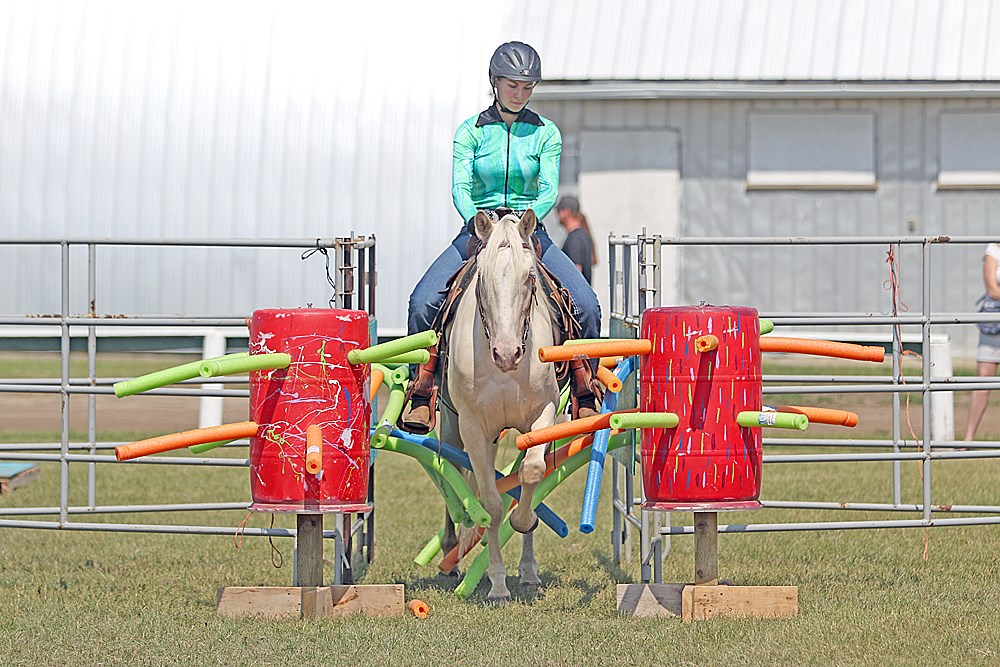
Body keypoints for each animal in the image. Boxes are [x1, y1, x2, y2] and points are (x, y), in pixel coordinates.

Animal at [440, 210, 564, 604]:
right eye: (483, 277)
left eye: (529, 277)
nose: (507, 354)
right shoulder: (473, 427)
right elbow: (492, 505)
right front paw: (496, 583)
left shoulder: (543, 414)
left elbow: (532, 474)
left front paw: (524, 522)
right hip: (453, 427)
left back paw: (528, 572)